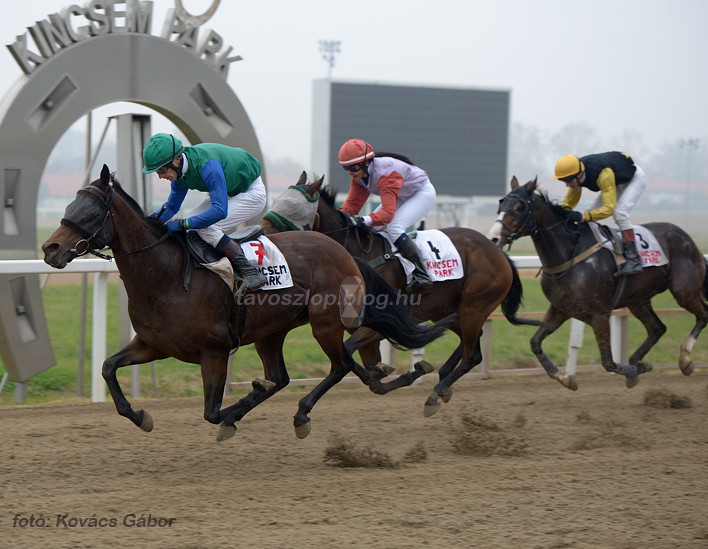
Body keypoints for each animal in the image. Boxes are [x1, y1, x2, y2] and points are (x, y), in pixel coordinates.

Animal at [40, 164, 448, 440]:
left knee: (340, 365)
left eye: (89, 209)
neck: (166, 276)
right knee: (287, 376)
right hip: (273, 331)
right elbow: (109, 367)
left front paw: (237, 409)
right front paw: (140, 415)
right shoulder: (153, 344)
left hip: (325, 323)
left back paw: (303, 414)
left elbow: (212, 412)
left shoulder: (215, 352)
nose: (50, 248)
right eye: (72, 203)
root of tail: (343, 251)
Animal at [258, 171, 544, 416]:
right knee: (471, 344)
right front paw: (390, 372)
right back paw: (443, 381)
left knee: (472, 354)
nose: (261, 237)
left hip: (474, 305)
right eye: (277, 202)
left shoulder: (381, 323)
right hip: (451, 311)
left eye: (292, 211)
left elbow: (349, 352)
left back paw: (436, 393)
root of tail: (499, 252)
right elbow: (368, 373)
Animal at [486, 178, 708, 388]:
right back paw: (638, 360)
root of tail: (689, 240)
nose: (494, 238)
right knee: (657, 328)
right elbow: (535, 342)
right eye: (502, 203)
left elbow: (608, 362)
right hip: (638, 300)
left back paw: (685, 360)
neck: (569, 254)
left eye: (520, 207)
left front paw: (634, 372)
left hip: (684, 291)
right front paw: (563, 377)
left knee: (703, 314)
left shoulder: (600, 313)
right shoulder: (561, 308)